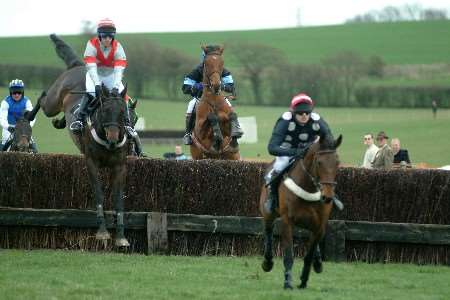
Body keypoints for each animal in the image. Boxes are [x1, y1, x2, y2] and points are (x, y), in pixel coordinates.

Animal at [37, 34, 129, 246]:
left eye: (123, 112)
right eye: (104, 111)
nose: (113, 138)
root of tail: (78, 65)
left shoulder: (119, 165)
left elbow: (119, 199)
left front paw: (121, 236)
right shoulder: (92, 162)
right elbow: (99, 194)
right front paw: (102, 232)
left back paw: (61, 122)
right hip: (52, 102)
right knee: (43, 96)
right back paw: (29, 115)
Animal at [258, 134, 342, 288]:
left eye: (337, 163)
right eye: (319, 162)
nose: (327, 196)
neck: (308, 188)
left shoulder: (319, 225)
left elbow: (309, 254)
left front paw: (303, 280)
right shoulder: (287, 221)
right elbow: (288, 254)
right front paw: (288, 282)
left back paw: (318, 263)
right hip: (268, 213)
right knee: (268, 231)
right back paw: (267, 262)